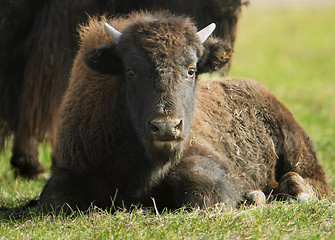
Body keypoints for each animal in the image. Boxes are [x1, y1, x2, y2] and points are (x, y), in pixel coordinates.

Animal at [37, 11, 330, 214]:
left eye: (191, 69)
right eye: (130, 71)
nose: (166, 127)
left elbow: (204, 194)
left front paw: (251, 197)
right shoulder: (73, 167)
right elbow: (53, 200)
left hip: (296, 149)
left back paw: (295, 192)